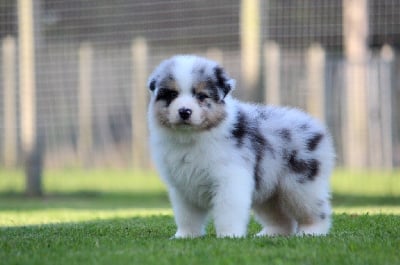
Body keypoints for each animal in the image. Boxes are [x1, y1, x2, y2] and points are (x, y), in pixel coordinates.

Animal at [147, 54, 334, 237]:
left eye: (201, 96)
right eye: (172, 94)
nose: (184, 112)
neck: (191, 137)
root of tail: (314, 125)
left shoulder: (230, 179)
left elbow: (227, 211)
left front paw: (229, 236)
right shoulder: (183, 186)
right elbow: (186, 216)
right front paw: (184, 236)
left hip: (300, 185)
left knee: (315, 211)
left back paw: (312, 231)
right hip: (269, 189)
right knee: (282, 219)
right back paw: (271, 234)